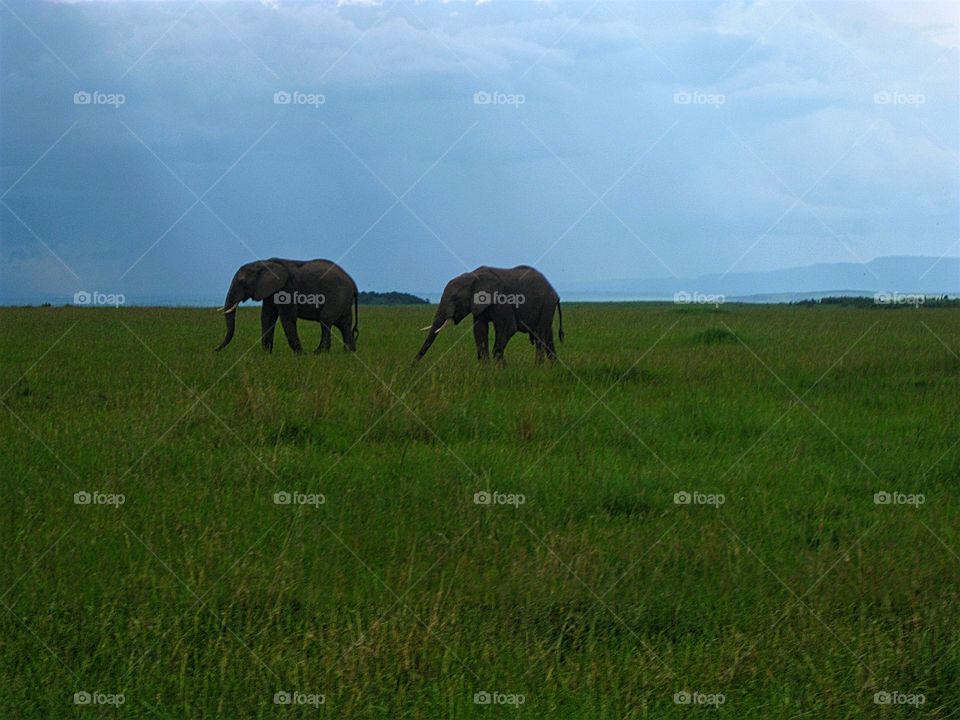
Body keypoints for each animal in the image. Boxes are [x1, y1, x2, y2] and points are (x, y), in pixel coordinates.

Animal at [216, 258, 358, 354]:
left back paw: (319, 353)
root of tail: (353, 284)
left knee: (325, 320)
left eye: (241, 282)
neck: (264, 263)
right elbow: (267, 317)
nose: (214, 350)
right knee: (344, 324)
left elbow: (287, 317)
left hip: (338, 295)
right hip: (343, 299)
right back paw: (348, 353)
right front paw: (266, 354)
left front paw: (301, 355)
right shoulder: (270, 290)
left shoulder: (286, 287)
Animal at [414, 266, 564, 362]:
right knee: (548, 336)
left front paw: (501, 370)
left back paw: (538, 368)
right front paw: (485, 370)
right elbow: (479, 330)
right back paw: (553, 368)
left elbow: (508, 328)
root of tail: (555, 292)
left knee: (540, 336)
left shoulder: (503, 299)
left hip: (547, 304)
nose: (412, 367)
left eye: (456, 298)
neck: (473, 276)